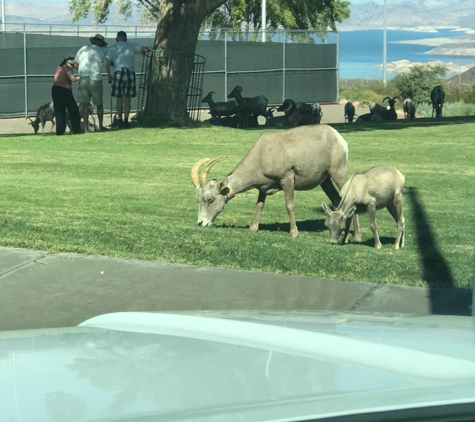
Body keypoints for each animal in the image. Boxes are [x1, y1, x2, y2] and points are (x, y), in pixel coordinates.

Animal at [192, 123, 362, 239]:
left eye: (209, 199)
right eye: (197, 200)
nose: (201, 223)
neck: (263, 153)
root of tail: (338, 137)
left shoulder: (287, 180)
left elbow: (289, 205)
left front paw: (293, 233)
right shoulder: (263, 188)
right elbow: (259, 205)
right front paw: (253, 228)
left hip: (338, 172)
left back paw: (356, 237)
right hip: (325, 181)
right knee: (336, 200)